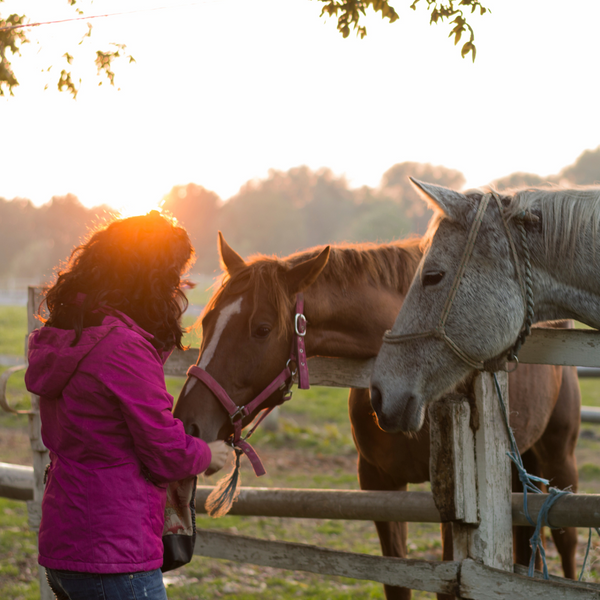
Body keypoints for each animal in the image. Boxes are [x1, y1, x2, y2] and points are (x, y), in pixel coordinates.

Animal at [175, 234, 580, 600]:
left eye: (261, 329)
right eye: (207, 321)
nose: (189, 423)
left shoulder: (455, 506)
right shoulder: (380, 484)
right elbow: (396, 584)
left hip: (558, 456)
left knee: (567, 541)